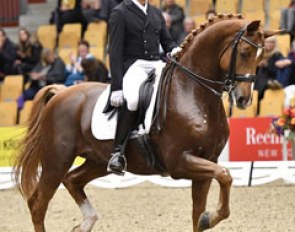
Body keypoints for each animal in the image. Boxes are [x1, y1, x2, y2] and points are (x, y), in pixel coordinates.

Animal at [13, 14, 278, 232]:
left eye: (261, 57)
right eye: (244, 52)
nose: (243, 99)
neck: (191, 92)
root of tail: (61, 92)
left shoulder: (206, 164)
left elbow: (199, 213)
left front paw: (206, 219)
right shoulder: (180, 162)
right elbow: (225, 175)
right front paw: (210, 218)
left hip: (97, 160)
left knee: (72, 180)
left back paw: (86, 222)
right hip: (56, 160)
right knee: (38, 203)